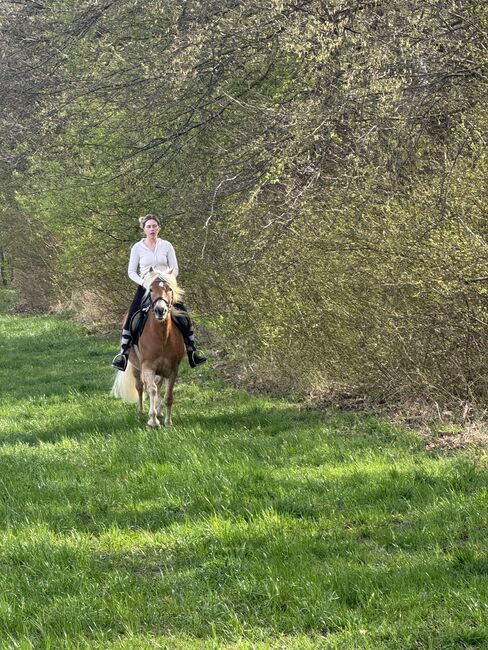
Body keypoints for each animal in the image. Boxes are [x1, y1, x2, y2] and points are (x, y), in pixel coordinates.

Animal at [111, 268, 186, 427]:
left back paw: (160, 411)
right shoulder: (148, 367)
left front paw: (168, 421)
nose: (160, 310)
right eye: (151, 289)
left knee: (158, 386)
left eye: (169, 289)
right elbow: (151, 389)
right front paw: (153, 420)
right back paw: (141, 410)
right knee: (140, 387)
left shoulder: (172, 370)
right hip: (136, 368)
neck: (162, 336)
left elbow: (168, 395)